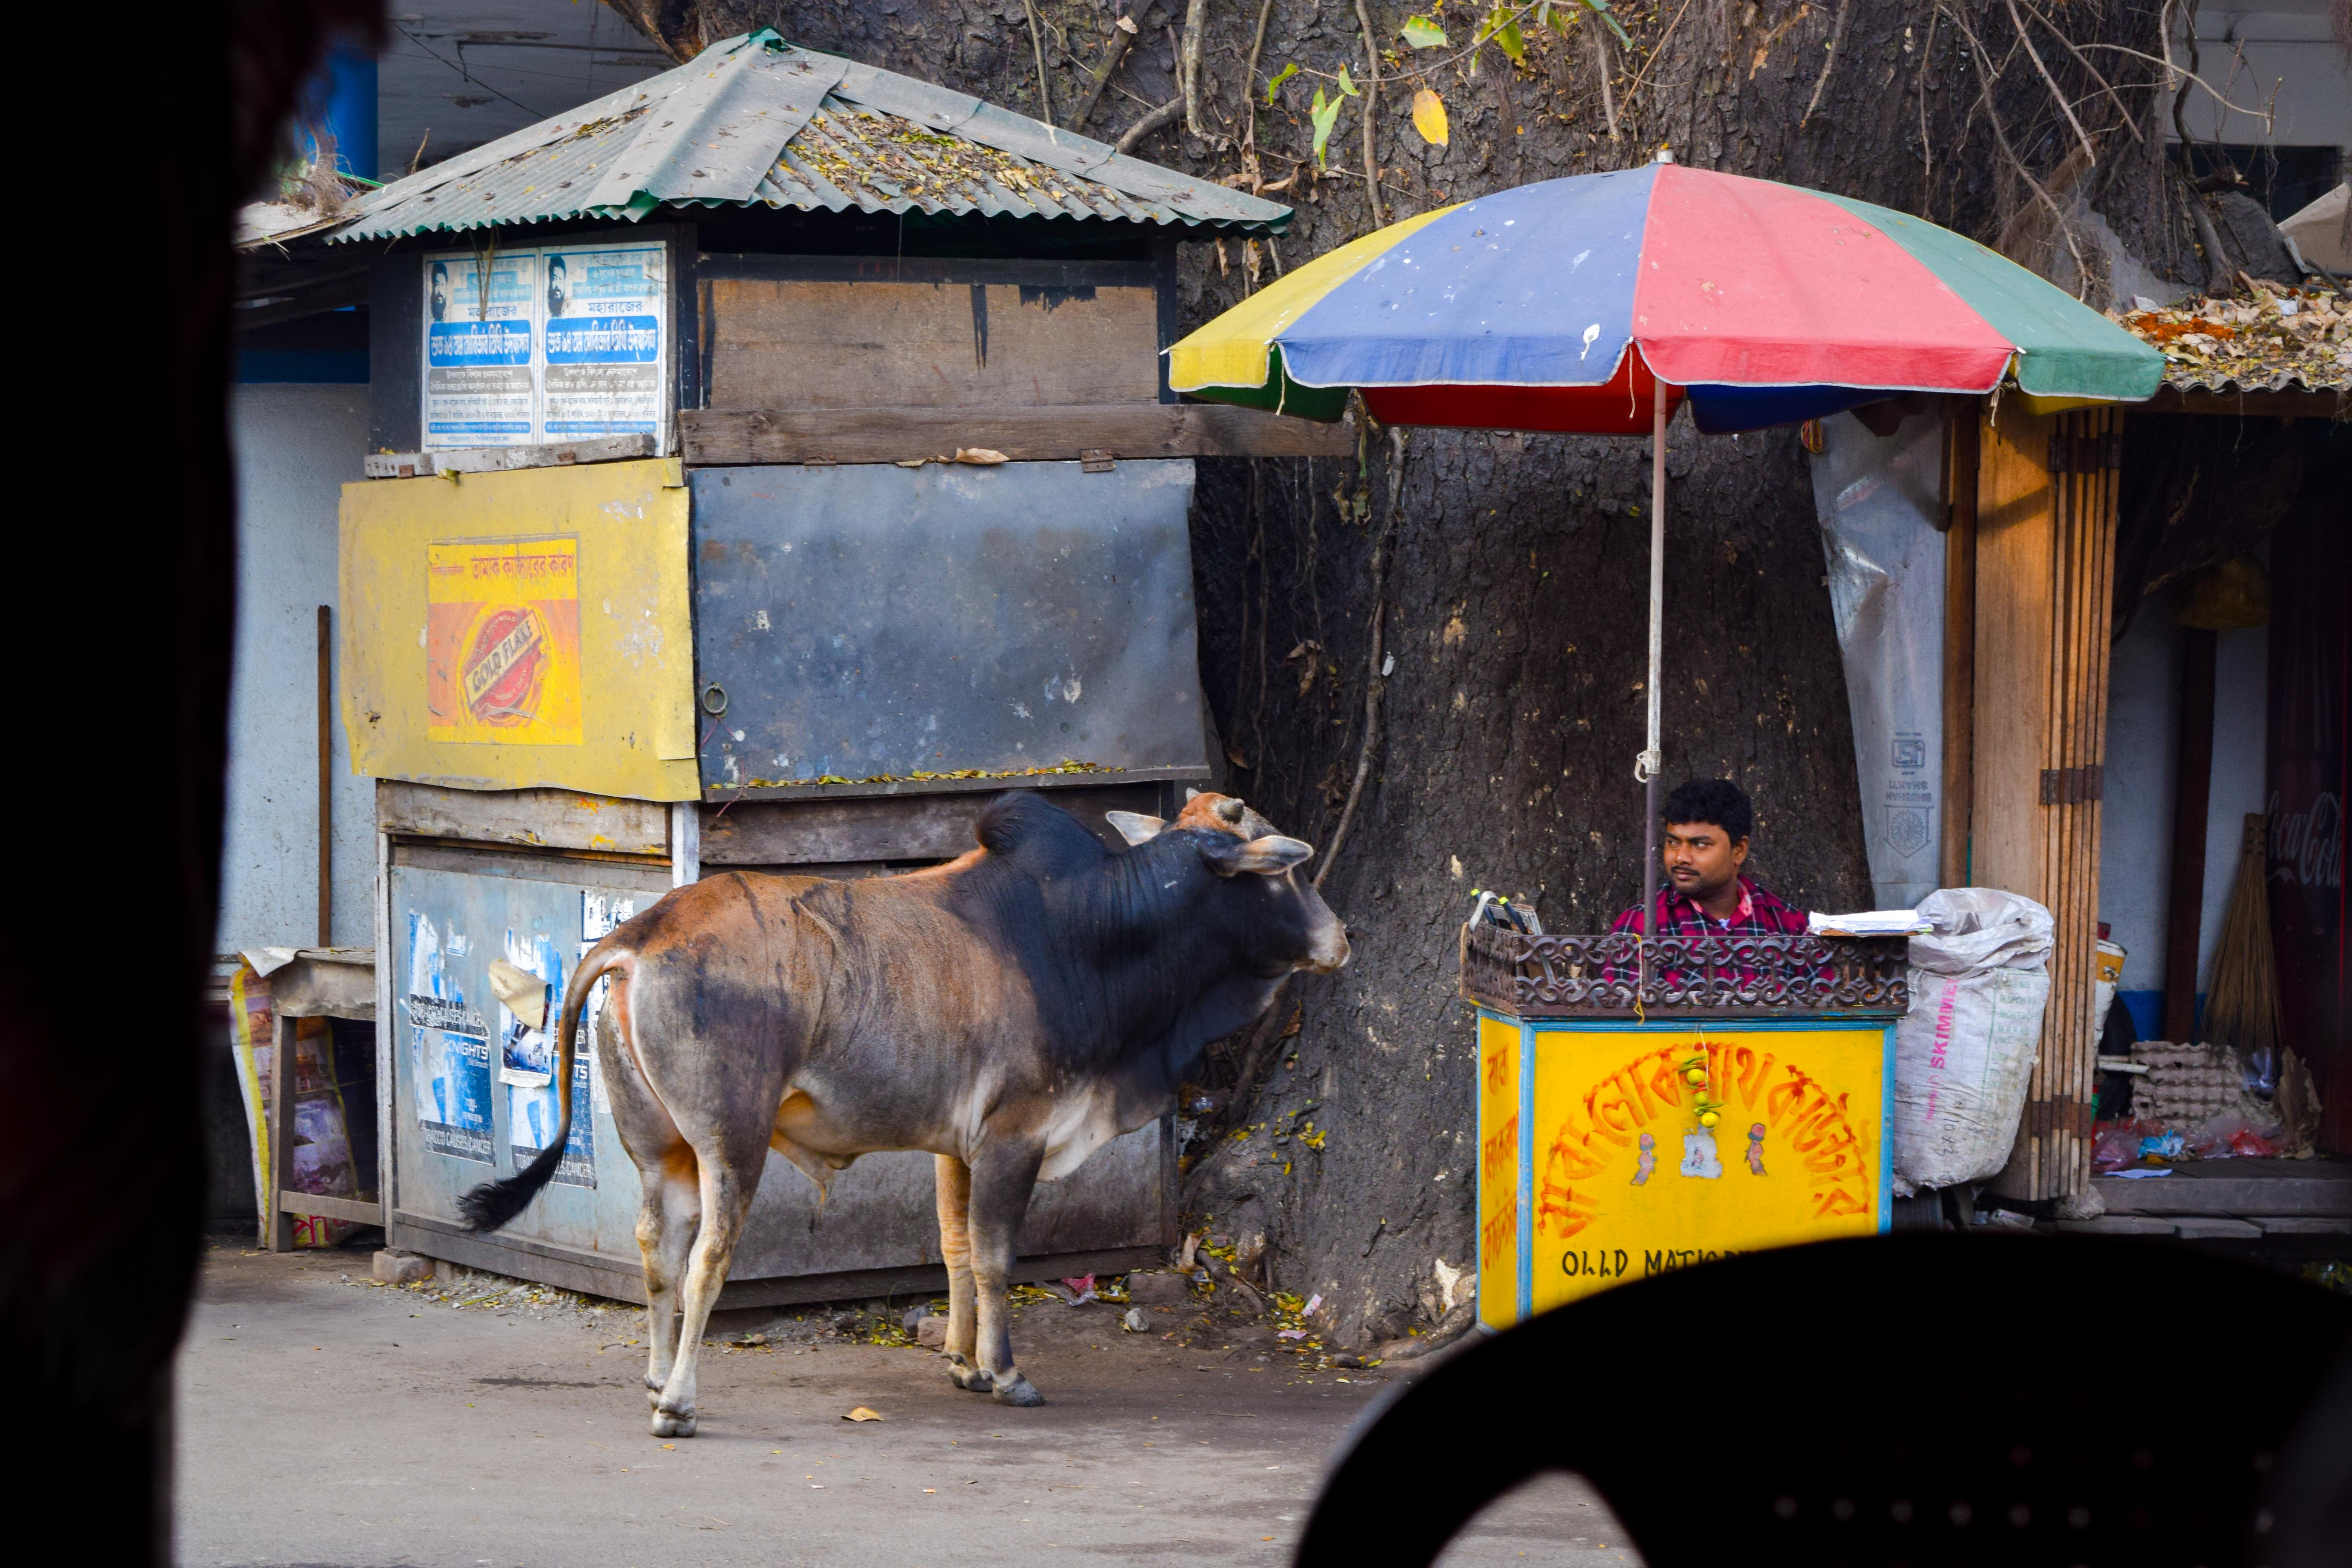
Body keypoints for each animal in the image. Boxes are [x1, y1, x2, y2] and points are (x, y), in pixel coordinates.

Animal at [457, 789, 1348, 1436]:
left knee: (656, 1251)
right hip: (730, 1143)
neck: (1092, 929)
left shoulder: (958, 1145)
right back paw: (677, 1402)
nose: (1339, 937)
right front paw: (1008, 1374)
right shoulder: (1015, 1138)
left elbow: (954, 1250)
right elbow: (995, 1257)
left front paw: (965, 1364)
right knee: (707, 1255)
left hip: (659, 1148)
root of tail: (640, 932)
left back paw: (653, 1374)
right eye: (1284, 871)